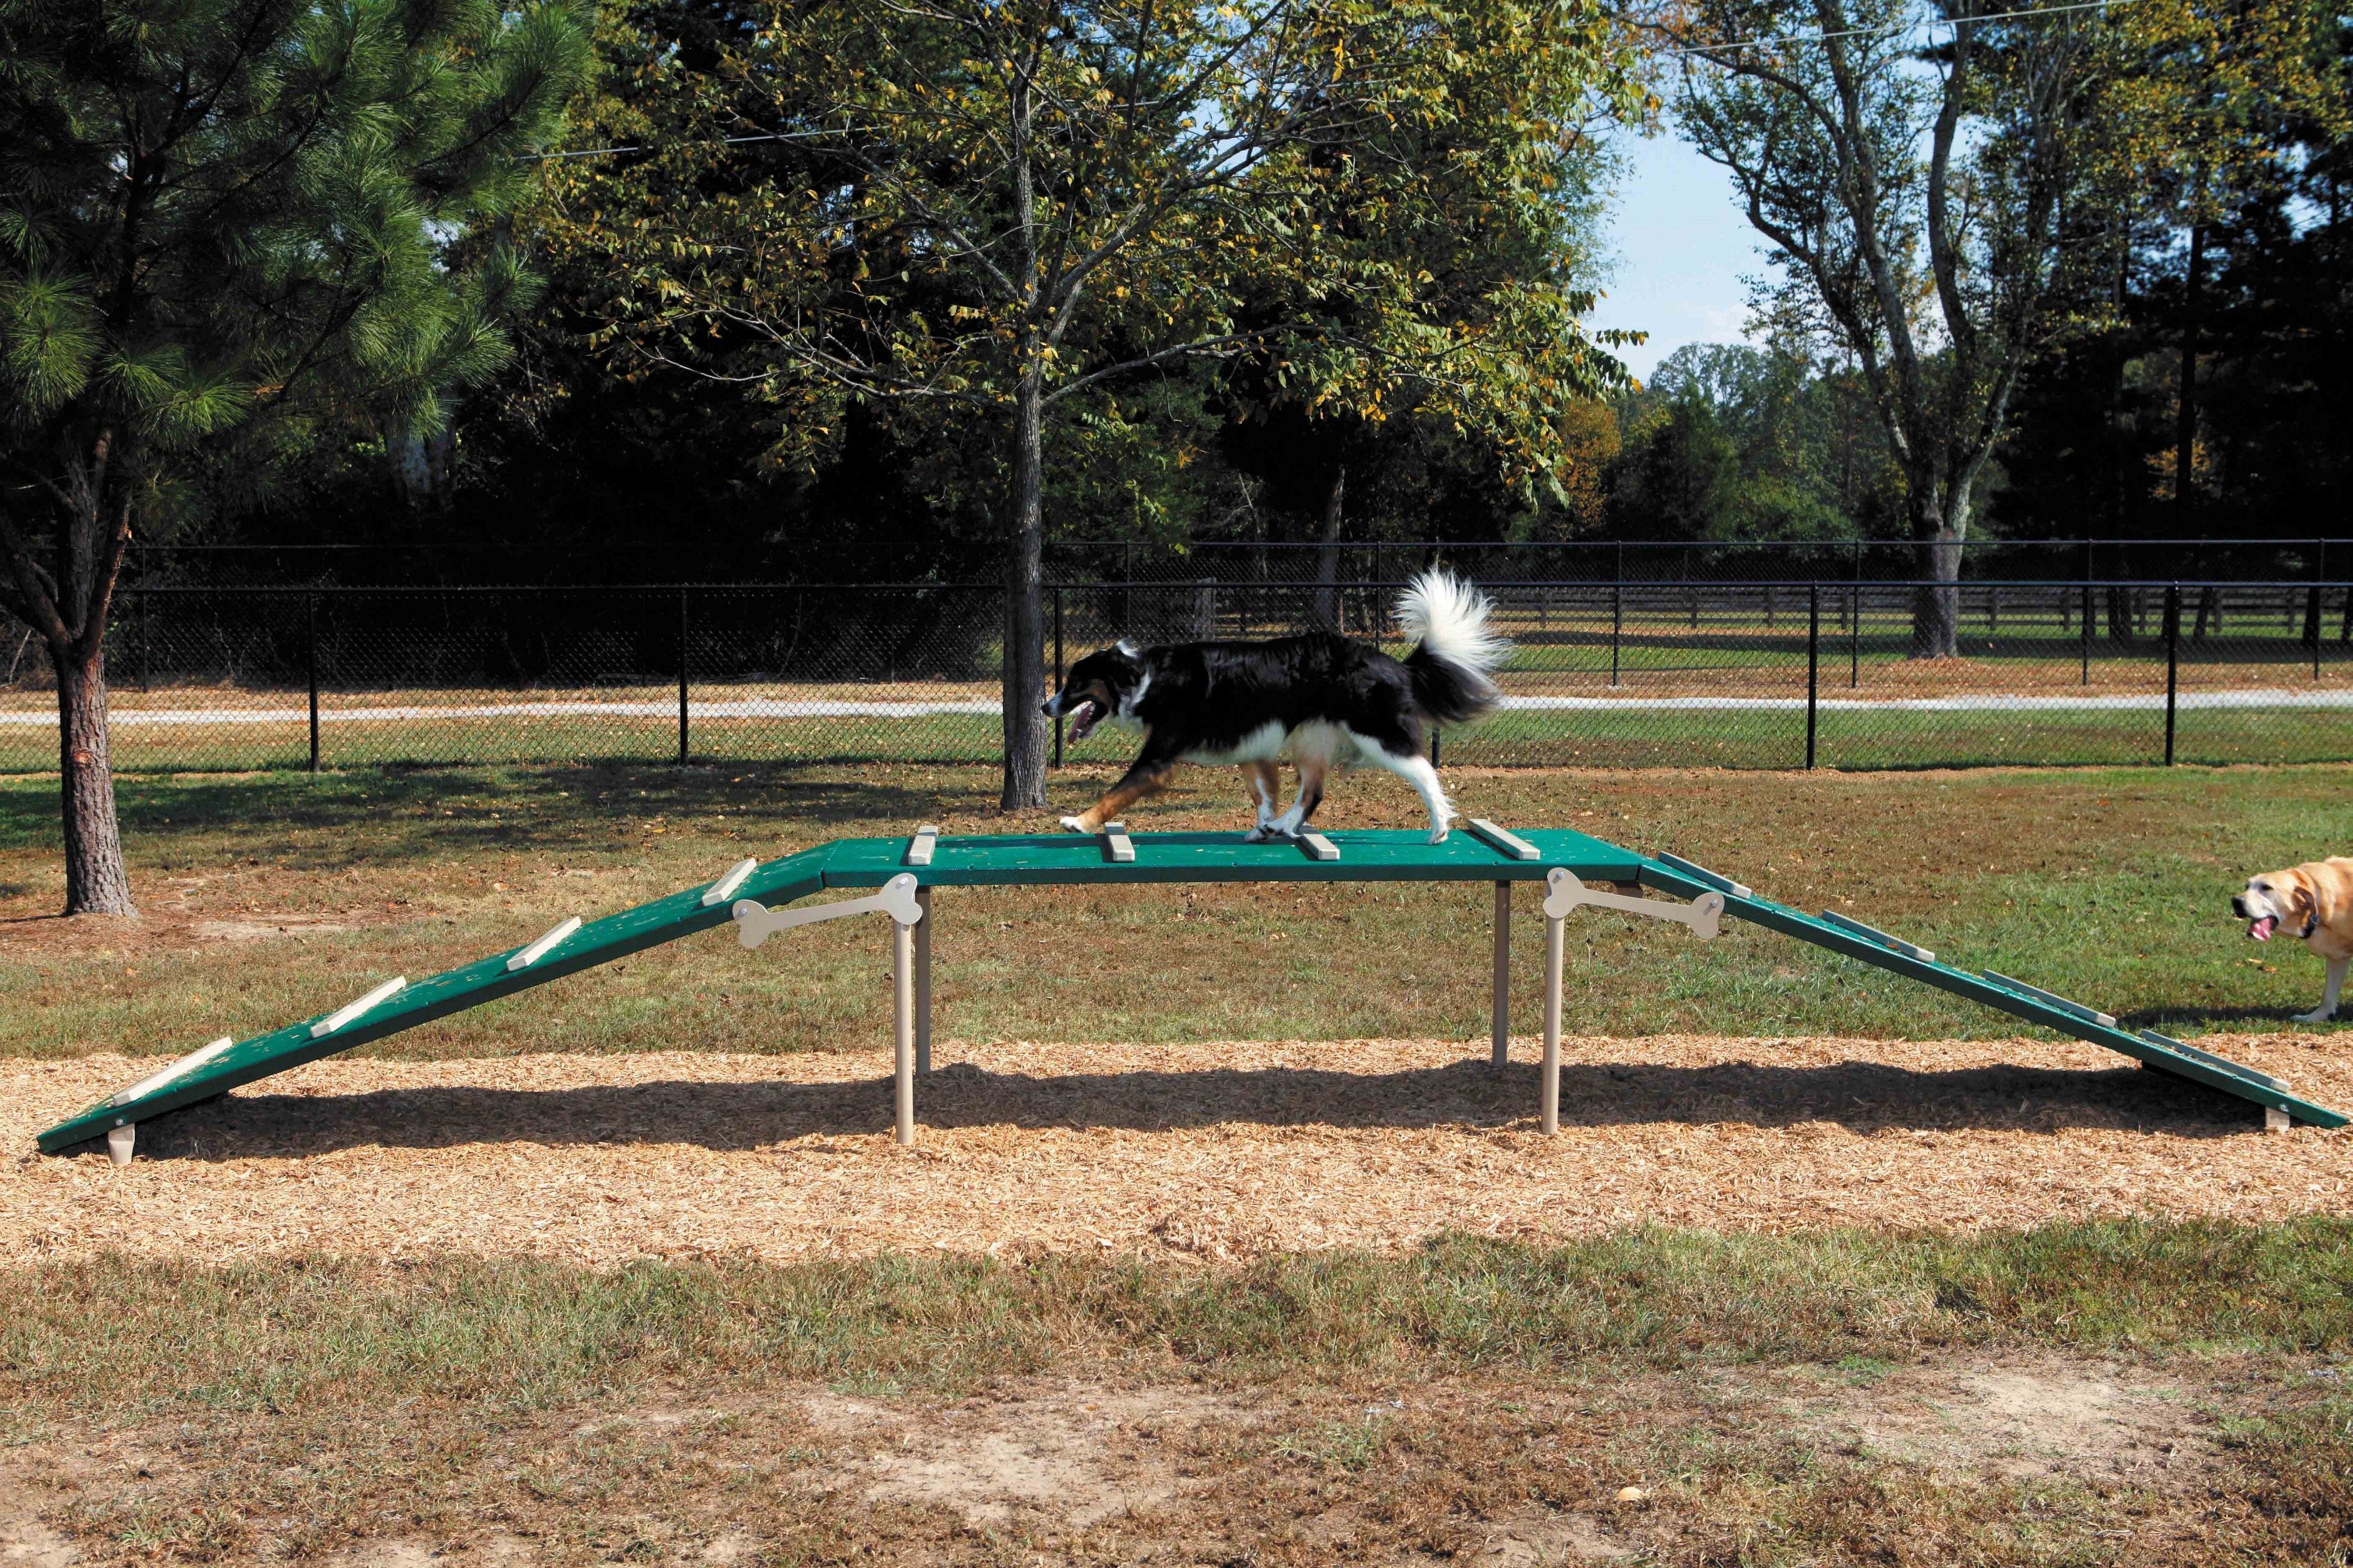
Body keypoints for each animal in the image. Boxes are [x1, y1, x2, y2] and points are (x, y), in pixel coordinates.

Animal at [1044, 573, 1506, 846]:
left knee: (1425, 773)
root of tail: (1394, 663)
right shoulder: (1250, 743)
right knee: (1313, 791)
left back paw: (1439, 827)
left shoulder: (1157, 758)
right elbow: (1262, 791)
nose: (1047, 706)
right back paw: (1285, 825)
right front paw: (1263, 824)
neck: (1143, 678)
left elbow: (1115, 792)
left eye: (1075, 683)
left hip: (1376, 734)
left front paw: (1080, 821)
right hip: (1311, 739)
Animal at [2221, 865, 2353, 1025]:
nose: (2235, 901)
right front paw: (2316, 1017)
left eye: (2266, 888)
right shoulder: (2337, 957)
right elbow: (2328, 995)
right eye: (2247, 887)